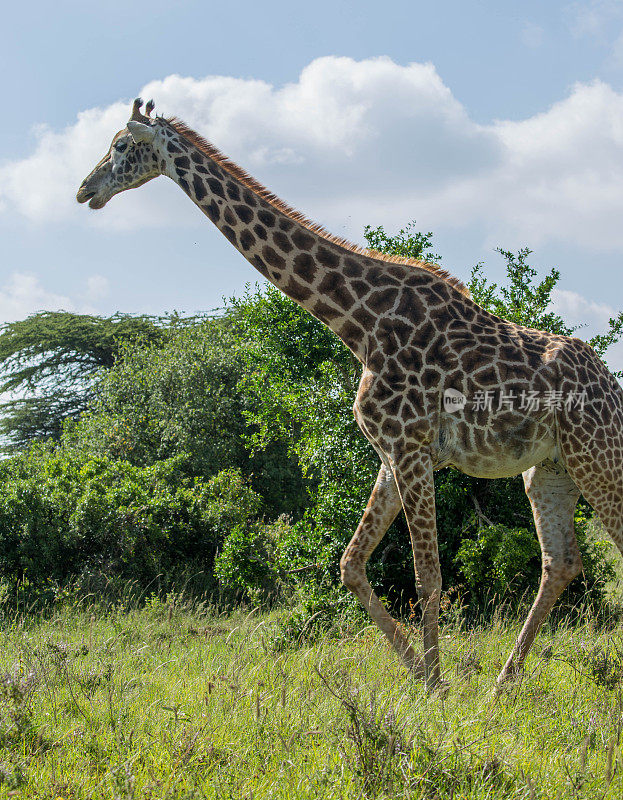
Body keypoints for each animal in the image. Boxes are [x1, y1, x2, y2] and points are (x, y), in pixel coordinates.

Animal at [77, 98, 623, 688]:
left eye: (121, 145)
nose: (85, 190)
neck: (360, 325)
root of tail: (613, 389)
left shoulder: (410, 446)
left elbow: (426, 575)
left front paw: (437, 687)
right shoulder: (392, 452)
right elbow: (350, 564)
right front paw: (420, 674)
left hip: (597, 457)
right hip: (549, 470)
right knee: (561, 562)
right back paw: (502, 686)